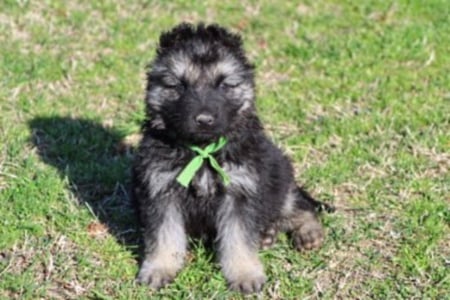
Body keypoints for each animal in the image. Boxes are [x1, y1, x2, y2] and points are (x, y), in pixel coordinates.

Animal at [132, 22, 332, 292]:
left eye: (224, 85)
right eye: (179, 85)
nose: (204, 120)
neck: (203, 149)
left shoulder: (240, 190)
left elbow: (238, 238)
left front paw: (244, 274)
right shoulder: (161, 190)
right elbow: (164, 236)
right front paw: (159, 268)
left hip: (278, 177)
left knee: (299, 205)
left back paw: (307, 233)